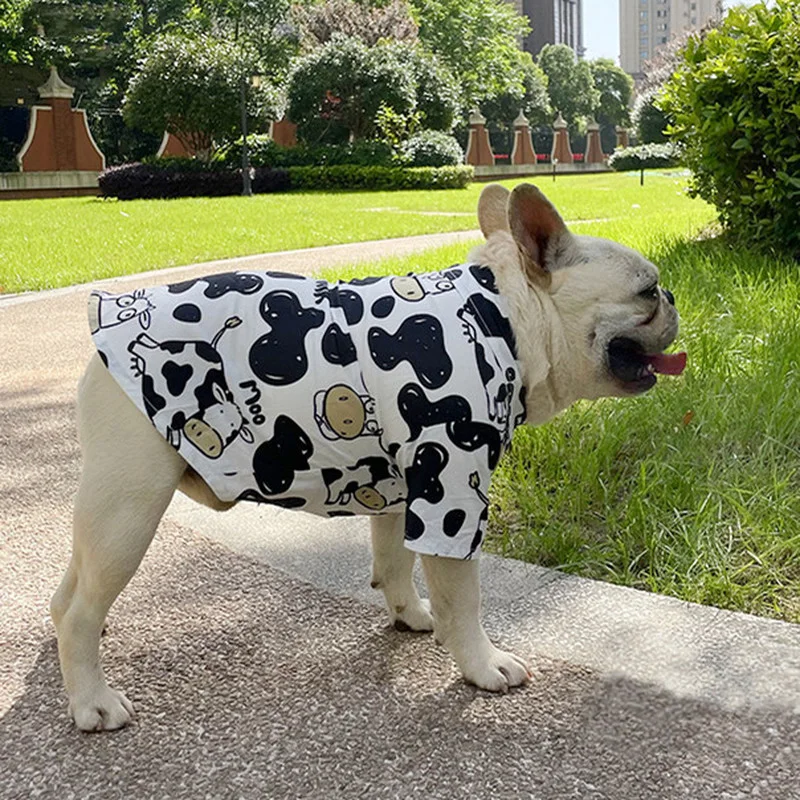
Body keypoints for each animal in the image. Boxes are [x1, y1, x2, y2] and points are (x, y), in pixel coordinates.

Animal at [51, 183, 688, 732]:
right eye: (647, 292)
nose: (675, 296)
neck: (503, 317)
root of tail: (103, 343)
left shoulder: (406, 485)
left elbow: (394, 561)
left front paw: (411, 615)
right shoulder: (451, 493)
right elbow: (464, 598)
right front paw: (482, 665)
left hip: (109, 505)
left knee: (72, 588)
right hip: (131, 507)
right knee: (79, 608)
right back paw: (93, 701)